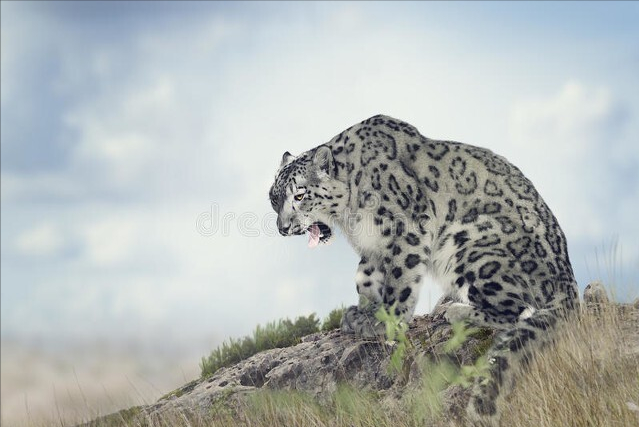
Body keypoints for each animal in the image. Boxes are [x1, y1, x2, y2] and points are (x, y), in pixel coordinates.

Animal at [268, 113, 580, 424]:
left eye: (299, 195)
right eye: (274, 198)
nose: (283, 228)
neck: (349, 216)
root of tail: (567, 281)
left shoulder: (406, 229)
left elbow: (399, 281)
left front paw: (386, 322)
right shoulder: (373, 247)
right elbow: (364, 277)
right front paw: (363, 312)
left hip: (468, 244)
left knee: (519, 310)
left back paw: (456, 310)